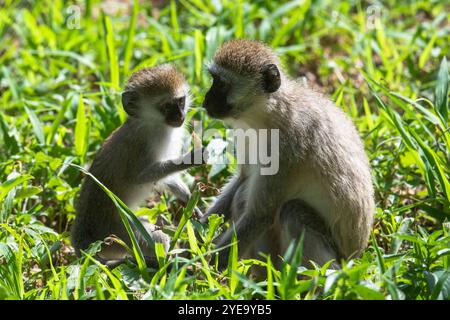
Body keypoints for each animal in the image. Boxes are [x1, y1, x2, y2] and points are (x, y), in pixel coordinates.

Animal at [71, 63, 207, 264]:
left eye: (181, 102)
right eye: (167, 106)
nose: (180, 116)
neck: (152, 124)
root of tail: (84, 241)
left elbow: (166, 180)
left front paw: (189, 199)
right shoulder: (143, 145)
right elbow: (140, 178)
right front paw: (191, 158)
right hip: (117, 235)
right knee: (158, 238)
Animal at [202, 40, 374, 270]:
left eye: (221, 84)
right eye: (214, 80)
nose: (205, 101)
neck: (267, 116)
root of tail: (355, 256)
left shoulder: (287, 148)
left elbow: (261, 215)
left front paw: (196, 267)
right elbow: (243, 179)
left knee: (292, 211)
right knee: (241, 196)